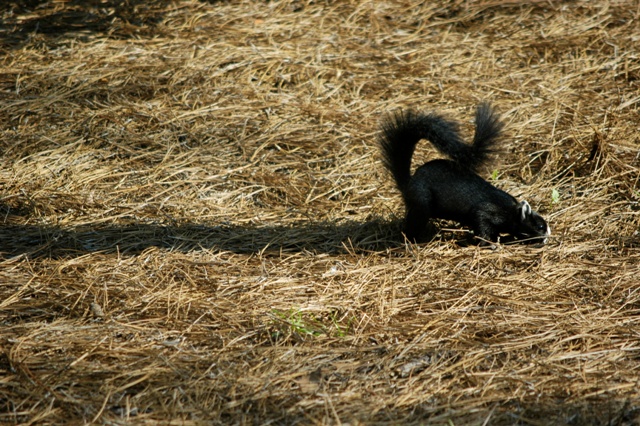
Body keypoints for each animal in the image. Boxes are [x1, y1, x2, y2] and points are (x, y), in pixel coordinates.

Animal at [379, 102, 550, 245]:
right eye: (540, 226)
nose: (547, 237)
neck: (510, 210)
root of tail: (409, 183)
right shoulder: (486, 211)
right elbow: (482, 225)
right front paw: (489, 242)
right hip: (422, 202)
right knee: (415, 221)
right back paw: (411, 239)